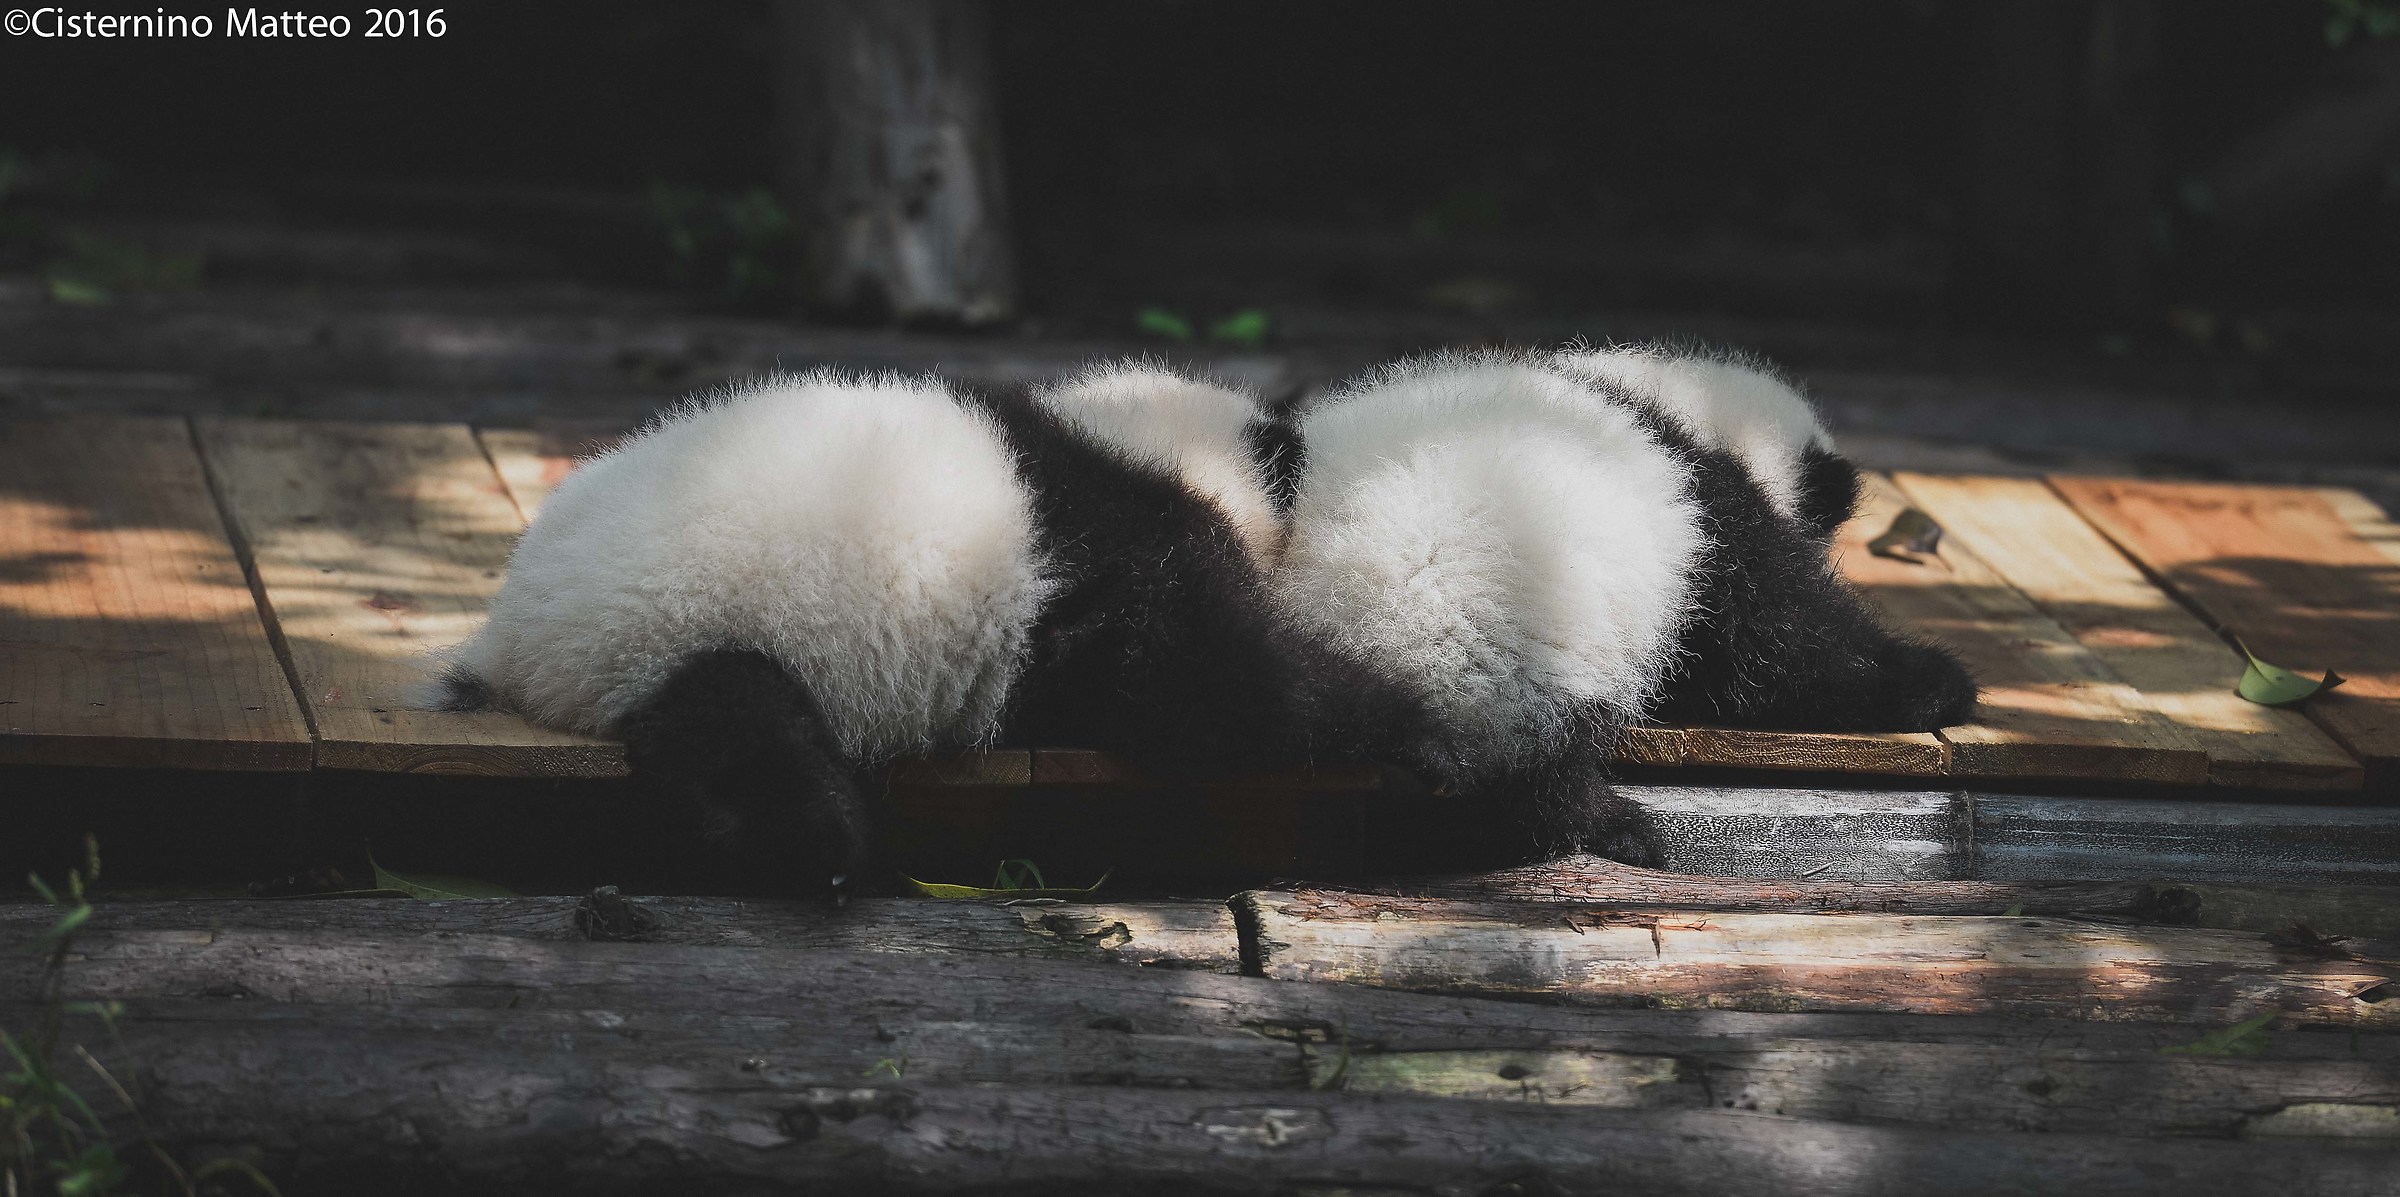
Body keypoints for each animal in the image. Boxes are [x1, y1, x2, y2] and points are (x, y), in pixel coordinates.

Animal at [439, 367, 1445, 897]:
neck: (1141, 435)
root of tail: (509, 642)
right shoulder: (1121, 546)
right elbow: (1219, 693)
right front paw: (1405, 719)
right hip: (672, 633)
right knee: (737, 730)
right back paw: (818, 846)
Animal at [1266, 350, 1979, 864]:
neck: (1681, 400)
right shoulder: (1707, 518)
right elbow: (1785, 647)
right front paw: (1939, 683)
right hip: (1483, 641)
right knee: (1527, 772)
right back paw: (1615, 827)